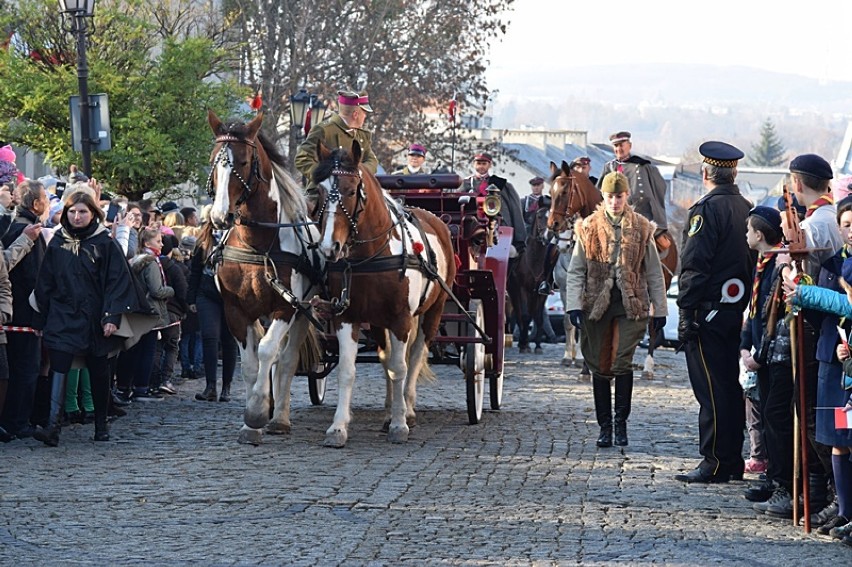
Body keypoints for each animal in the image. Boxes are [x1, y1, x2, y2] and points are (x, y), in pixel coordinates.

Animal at [206, 112, 322, 448]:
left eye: (243, 162)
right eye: (213, 161)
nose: (219, 217)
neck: (258, 244)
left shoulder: (288, 307)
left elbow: (269, 353)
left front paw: (258, 411)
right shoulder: (235, 311)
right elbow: (250, 363)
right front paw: (251, 422)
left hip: (304, 311)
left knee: (287, 357)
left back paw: (279, 418)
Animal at [312, 141, 456, 448]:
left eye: (351, 190)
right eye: (319, 191)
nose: (330, 247)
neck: (373, 254)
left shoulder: (402, 319)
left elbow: (401, 368)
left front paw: (400, 424)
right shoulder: (347, 317)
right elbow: (349, 370)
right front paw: (338, 427)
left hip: (432, 312)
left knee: (414, 356)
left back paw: (407, 409)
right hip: (378, 322)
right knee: (386, 358)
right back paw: (391, 408)